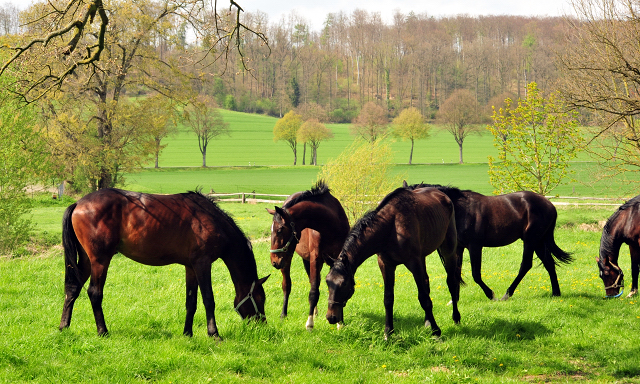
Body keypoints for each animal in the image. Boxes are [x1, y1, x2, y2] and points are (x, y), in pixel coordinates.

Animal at [58, 189, 268, 340]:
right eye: (260, 298)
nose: (262, 325)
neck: (212, 220)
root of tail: (78, 203)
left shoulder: (191, 267)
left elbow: (191, 301)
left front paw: (187, 333)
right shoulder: (202, 264)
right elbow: (208, 299)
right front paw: (214, 334)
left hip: (86, 260)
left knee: (72, 288)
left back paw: (64, 327)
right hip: (100, 260)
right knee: (94, 293)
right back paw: (102, 331)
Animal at [266, 182, 350, 328]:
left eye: (280, 229)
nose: (274, 261)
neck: (331, 225)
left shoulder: (337, 258)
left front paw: (340, 322)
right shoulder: (315, 258)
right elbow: (313, 292)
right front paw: (310, 323)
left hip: (305, 259)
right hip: (288, 258)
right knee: (287, 285)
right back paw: (284, 314)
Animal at [402, 182, 572, 302]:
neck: (460, 210)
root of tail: (550, 205)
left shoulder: (475, 246)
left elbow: (476, 274)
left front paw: (491, 294)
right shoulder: (459, 248)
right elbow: (456, 272)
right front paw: (454, 300)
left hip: (531, 240)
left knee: (526, 265)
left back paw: (506, 294)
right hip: (539, 241)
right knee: (549, 263)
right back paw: (556, 293)